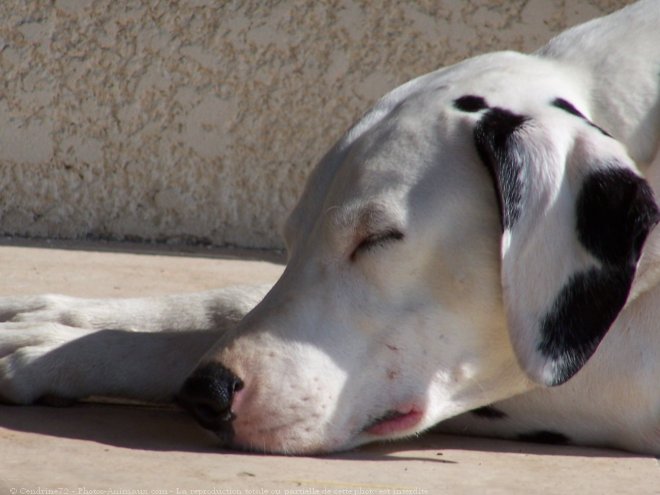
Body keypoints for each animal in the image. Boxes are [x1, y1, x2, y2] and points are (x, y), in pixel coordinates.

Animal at [1, 0, 660, 458]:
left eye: (378, 238)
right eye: (292, 241)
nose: (205, 394)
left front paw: (65, 347)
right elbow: (231, 302)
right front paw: (65, 319)